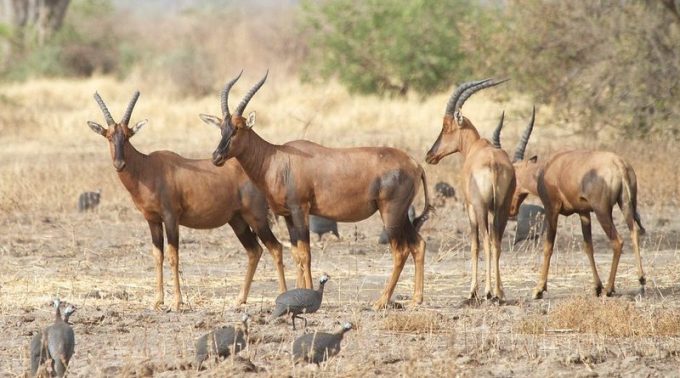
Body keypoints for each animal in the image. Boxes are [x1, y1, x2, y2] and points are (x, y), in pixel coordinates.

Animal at [87, 91, 286, 310]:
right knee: (254, 250)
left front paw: (177, 302)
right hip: (237, 221)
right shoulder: (152, 220)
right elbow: (157, 256)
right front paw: (158, 300)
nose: (119, 164)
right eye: (108, 136)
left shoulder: (171, 218)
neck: (148, 168)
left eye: (128, 135)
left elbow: (173, 256)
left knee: (276, 247)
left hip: (256, 218)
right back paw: (240, 299)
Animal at [202, 71, 432, 310]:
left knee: (400, 251)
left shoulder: (300, 210)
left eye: (238, 128)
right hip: (402, 214)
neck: (278, 158)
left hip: (391, 212)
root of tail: (416, 164)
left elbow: (306, 254)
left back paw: (381, 301)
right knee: (418, 245)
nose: (216, 157)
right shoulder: (288, 216)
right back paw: (416, 299)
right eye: (221, 128)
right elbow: (296, 254)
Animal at [424, 79, 516, 302]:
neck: (477, 147)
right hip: (502, 207)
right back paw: (499, 292)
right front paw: (497, 290)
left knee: (486, 240)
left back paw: (488, 291)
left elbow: (474, 245)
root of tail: (493, 163)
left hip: (481, 208)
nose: (430, 155)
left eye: (445, 126)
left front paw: (473, 290)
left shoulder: (470, 208)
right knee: (496, 241)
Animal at [508, 111, 644, 298]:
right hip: (626, 205)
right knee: (634, 233)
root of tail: (619, 165)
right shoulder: (584, 213)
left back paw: (609, 289)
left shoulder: (552, 209)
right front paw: (596, 287)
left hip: (602, 211)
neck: (549, 167)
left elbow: (548, 246)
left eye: (514, 174)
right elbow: (588, 246)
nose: (511, 210)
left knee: (618, 241)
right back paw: (641, 279)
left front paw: (539, 289)